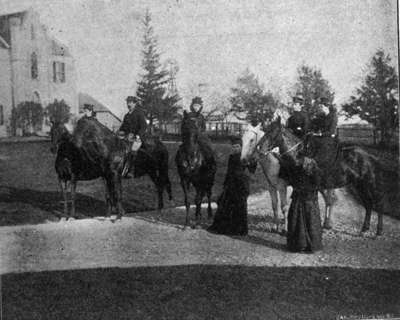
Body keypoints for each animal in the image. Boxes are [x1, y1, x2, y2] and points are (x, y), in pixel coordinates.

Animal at [258, 117, 386, 235]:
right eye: (265, 130)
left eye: (272, 132)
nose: (260, 148)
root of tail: (371, 156)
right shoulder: (272, 187)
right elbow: (275, 206)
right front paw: (275, 227)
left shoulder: (283, 187)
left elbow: (284, 206)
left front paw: (285, 229)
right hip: (359, 185)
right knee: (368, 204)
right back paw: (364, 229)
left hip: (369, 184)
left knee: (377, 203)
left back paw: (378, 231)